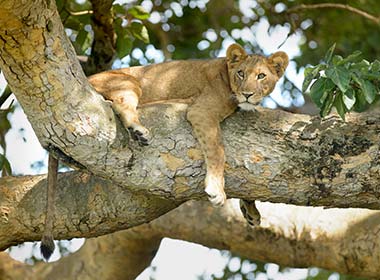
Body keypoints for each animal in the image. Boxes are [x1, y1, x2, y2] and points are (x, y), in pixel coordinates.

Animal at [40, 43, 288, 260]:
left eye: (261, 76)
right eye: (240, 73)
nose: (247, 94)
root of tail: (87, 79)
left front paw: (251, 211)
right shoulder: (202, 112)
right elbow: (218, 151)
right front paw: (216, 190)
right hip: (129, 81)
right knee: (120, 104)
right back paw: (138, 131)